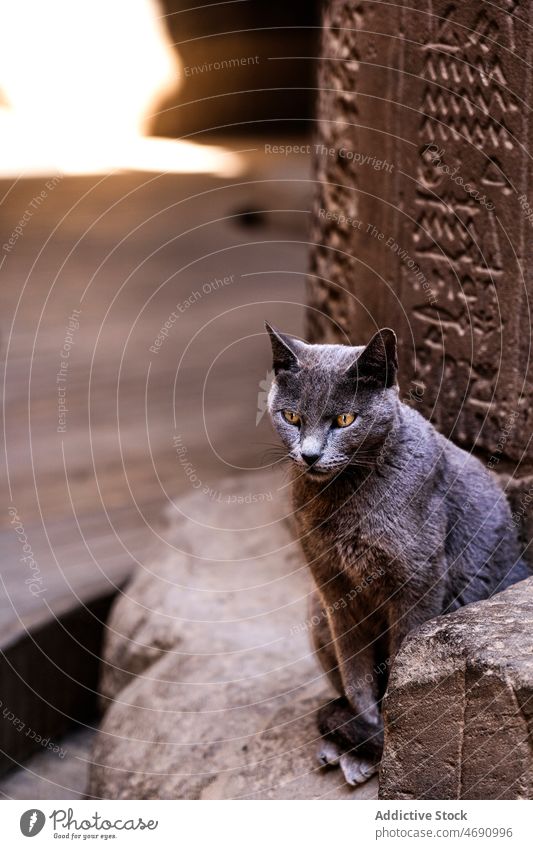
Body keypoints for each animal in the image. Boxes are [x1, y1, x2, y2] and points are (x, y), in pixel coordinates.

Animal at [266, 322, 528, 784]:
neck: (343, 502)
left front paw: (383, 747)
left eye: (344, 419)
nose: (310, 455)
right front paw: (366, 732)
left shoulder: (417, 583)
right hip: (315, 609)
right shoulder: (332, 586)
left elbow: (399, 669)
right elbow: (355, 673)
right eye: (291, 416)